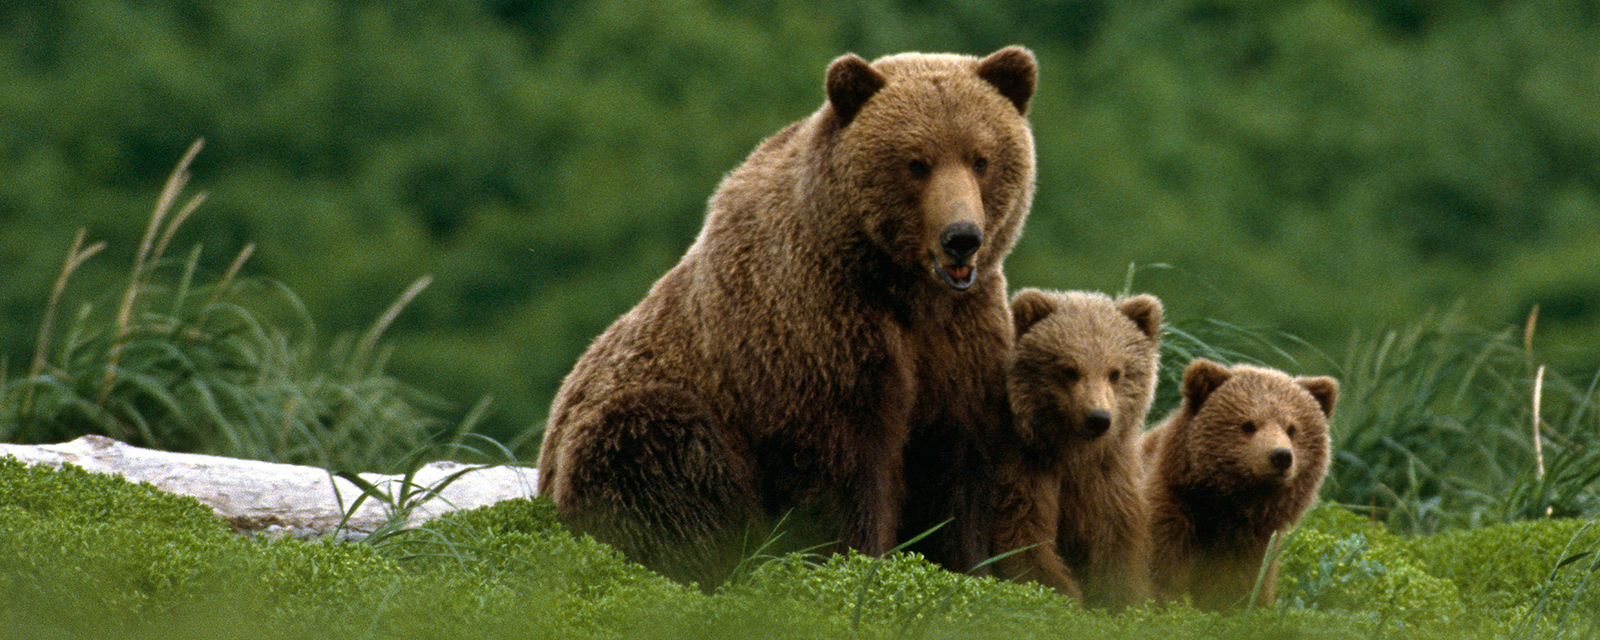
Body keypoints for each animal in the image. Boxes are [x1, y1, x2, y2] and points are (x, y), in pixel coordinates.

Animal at [535, 47, 1039, 588]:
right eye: (916, 163)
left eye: (981, 159)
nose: (961, 237)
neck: (900, 286)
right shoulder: (815, 331)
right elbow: (843, 469)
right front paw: (854, 561)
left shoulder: (961, 340)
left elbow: (958, 469)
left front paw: (972, 568)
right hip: (632, 423)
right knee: (660, 454)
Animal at [988, 289, 1162, 608]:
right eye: (1069, 370)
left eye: (1115, 372)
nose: (1098, 418)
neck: (1074, 453)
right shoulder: (1025, 465)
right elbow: (1024, 536)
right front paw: (1065, 596)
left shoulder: (1106, 477)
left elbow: (1116, 544)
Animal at [1140, 359, 1338, 609]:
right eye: (1248, 425)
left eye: (1292, 428)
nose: (1281, 456)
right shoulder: (1169, 514)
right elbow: (1160, 574)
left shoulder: (1250, 543)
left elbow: (1239, 587)